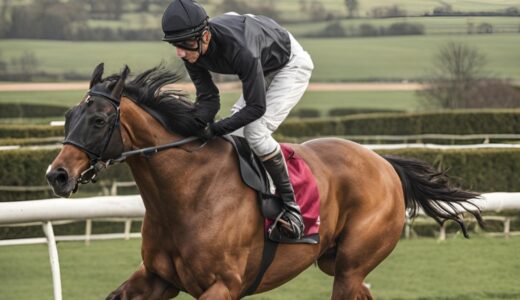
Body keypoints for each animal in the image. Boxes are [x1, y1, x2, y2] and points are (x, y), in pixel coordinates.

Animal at [45, 64, 484, 298]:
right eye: (68, 116)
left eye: (98, 120)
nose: (57, 175)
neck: (185, 193)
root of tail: (384, 162)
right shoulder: (157, 278)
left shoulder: (222, 286)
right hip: (337, 264)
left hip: (350, 266)